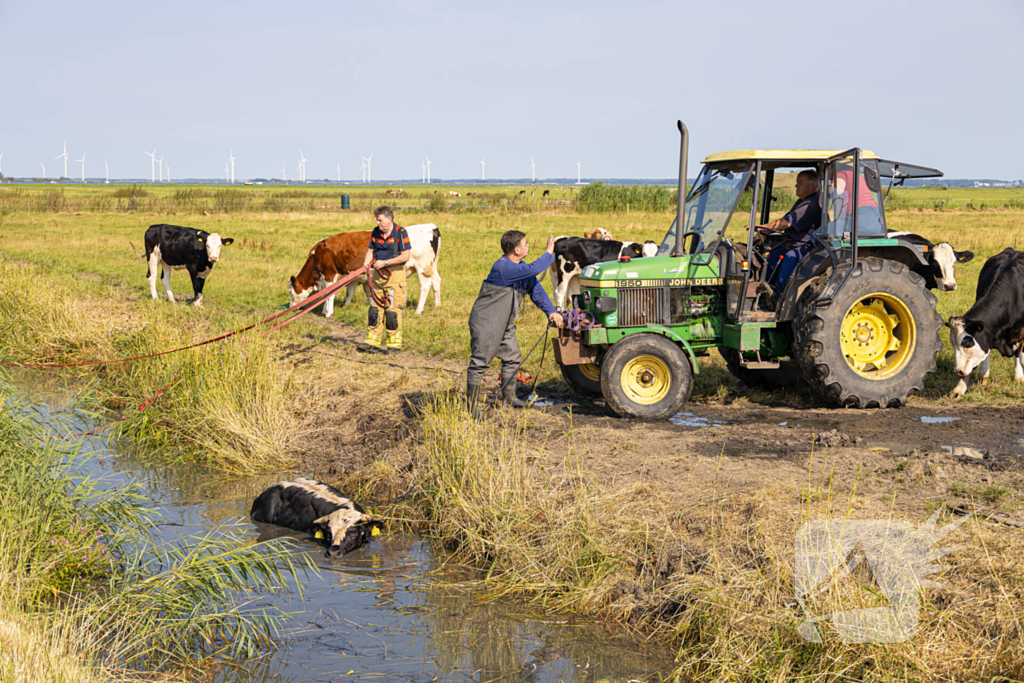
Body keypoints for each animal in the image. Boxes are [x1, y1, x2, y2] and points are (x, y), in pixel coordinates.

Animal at [288, 223, 442, 316]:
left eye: (290, 291)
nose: (290, 307)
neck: (318, 254)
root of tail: (430, 227)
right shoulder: (353, 277)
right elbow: (352, 292)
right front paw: (346, 306)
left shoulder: (329, 275)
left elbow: (329, 295)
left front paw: (328, 313)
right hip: (431, 267)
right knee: (436, 282)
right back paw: (436, 305)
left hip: (422, 268)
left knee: (425, 286)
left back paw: (418, 310)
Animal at [946, 248, 1024, 398]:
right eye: (953, 344)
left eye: (967, 343)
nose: (958, 371)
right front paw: (959, 388)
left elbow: (1020, 354)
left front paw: (1019, 377)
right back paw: (984, 374)